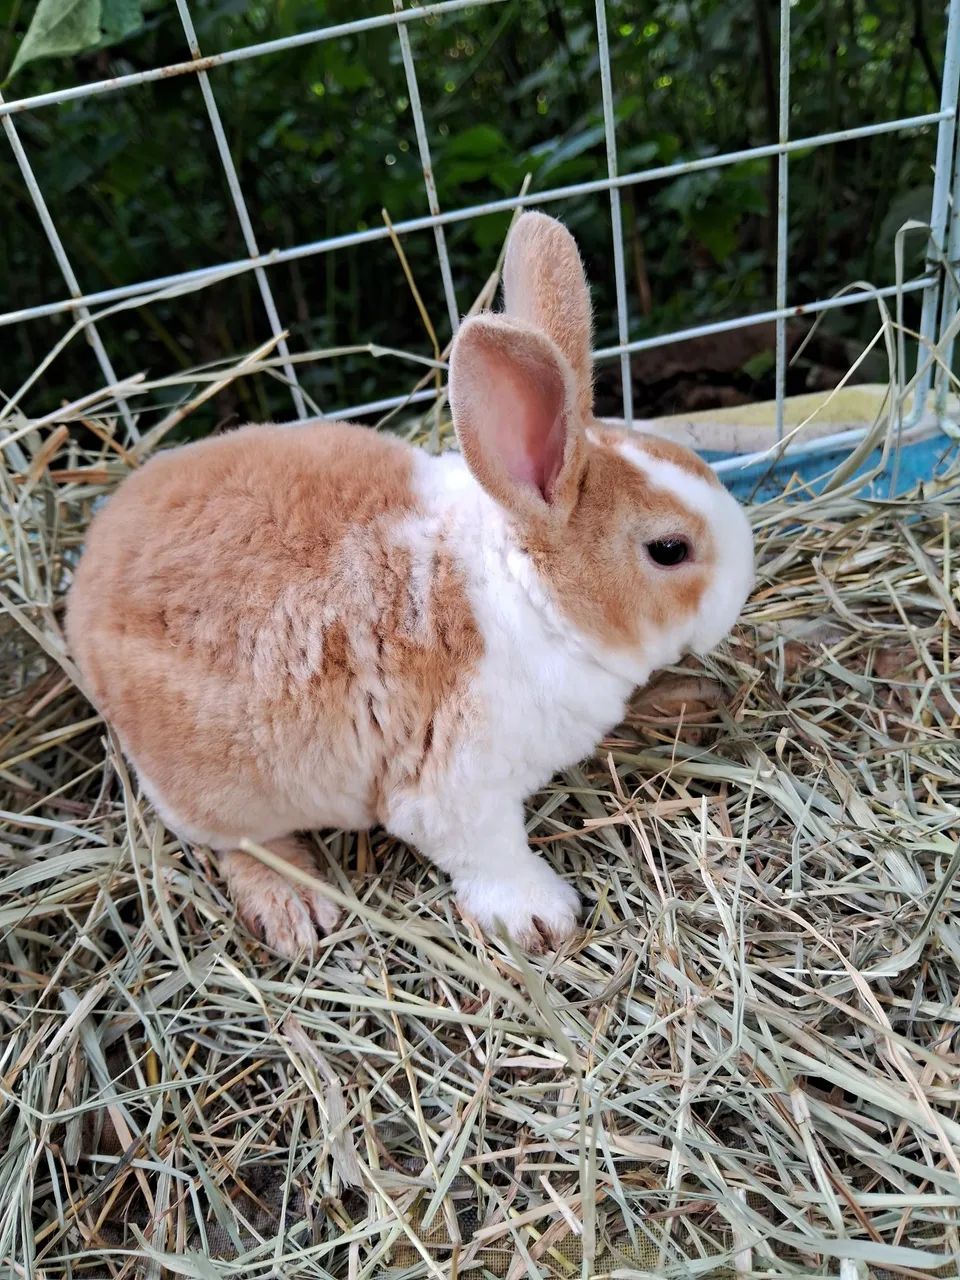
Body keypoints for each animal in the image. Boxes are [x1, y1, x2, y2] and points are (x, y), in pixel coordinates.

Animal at [66, 211, 755, 958]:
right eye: (669, 550)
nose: (744, 582)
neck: (531, 598)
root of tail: (84, 586)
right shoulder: (456, 787)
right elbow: (492, 854)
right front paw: (541, 920)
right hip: (219, 786)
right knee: (237, 844)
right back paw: (294, 908)